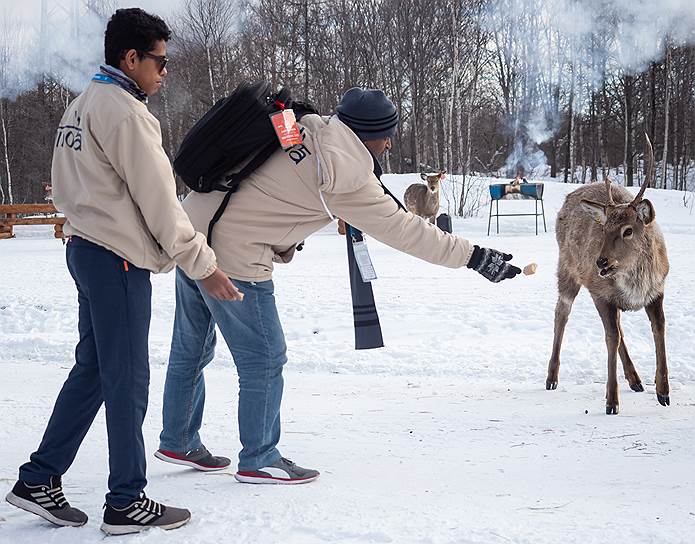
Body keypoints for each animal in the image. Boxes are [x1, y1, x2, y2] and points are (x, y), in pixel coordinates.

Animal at [548, 137, 672, 416]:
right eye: (604, 229)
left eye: (628, 230)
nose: (601, 262)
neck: (636, 285)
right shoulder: (600, 293)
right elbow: (610, 338)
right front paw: (611, 401)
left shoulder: (657, 290)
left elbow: (658, 328)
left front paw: (663, 392)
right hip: (567, 268)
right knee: (562, 312)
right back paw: (551, 377)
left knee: (618, 328)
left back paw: (636, 380)